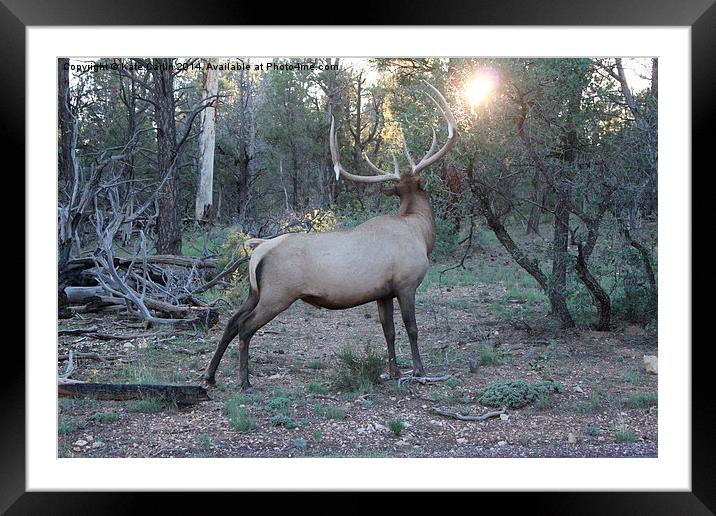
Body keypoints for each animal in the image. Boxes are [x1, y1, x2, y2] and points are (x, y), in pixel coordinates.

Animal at [203, 81, 458, 392]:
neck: (420, 232)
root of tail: (258, 250)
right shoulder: (406, 283)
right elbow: (412, 328)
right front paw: (419, 370)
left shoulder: (383, 292)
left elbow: (388, 331)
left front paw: (394, 371)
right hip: (278, 293)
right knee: (245, 327)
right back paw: (245, 380)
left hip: (255, 291)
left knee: (230, 322)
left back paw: (210, 375)